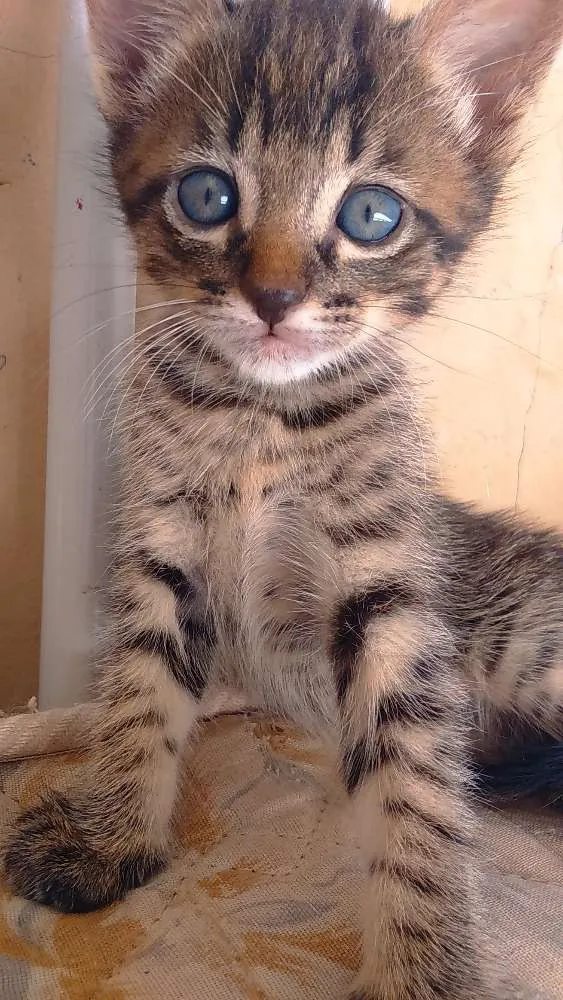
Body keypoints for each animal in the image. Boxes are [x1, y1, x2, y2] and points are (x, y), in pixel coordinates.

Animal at [5, 0, 563, 996]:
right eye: (207, 197)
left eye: (371, 215)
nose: (273, 295)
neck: (262, 422)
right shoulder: (163, 548)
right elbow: (138, 691)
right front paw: (110, 834)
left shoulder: (387, 588)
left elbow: (416, 781)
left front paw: (425, 967)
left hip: (532, 646)